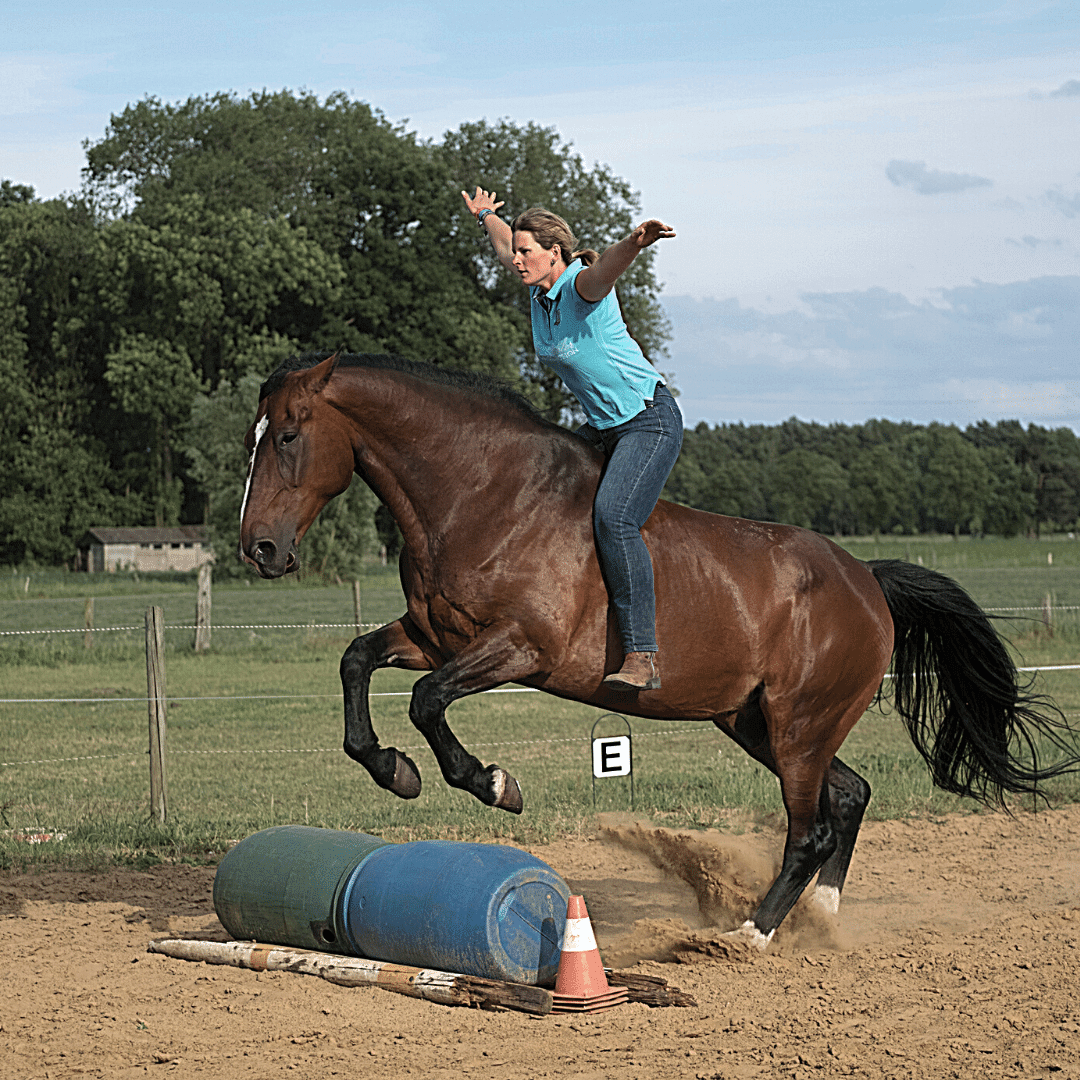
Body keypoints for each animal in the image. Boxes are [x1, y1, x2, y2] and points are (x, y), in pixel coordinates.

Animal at [240, 349, 1075, 950]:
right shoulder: (432, 636)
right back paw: (822, 920)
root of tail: (866, 581)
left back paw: (751, 934)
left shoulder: (520, 650)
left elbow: (427, 700)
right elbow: (357, 662)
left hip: (800, 723)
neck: (484, 497)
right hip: (756, 722)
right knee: (850, 795)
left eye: (287, 436)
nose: (260, 550)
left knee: (811, 827)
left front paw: (491, 783)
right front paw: (394, 770)